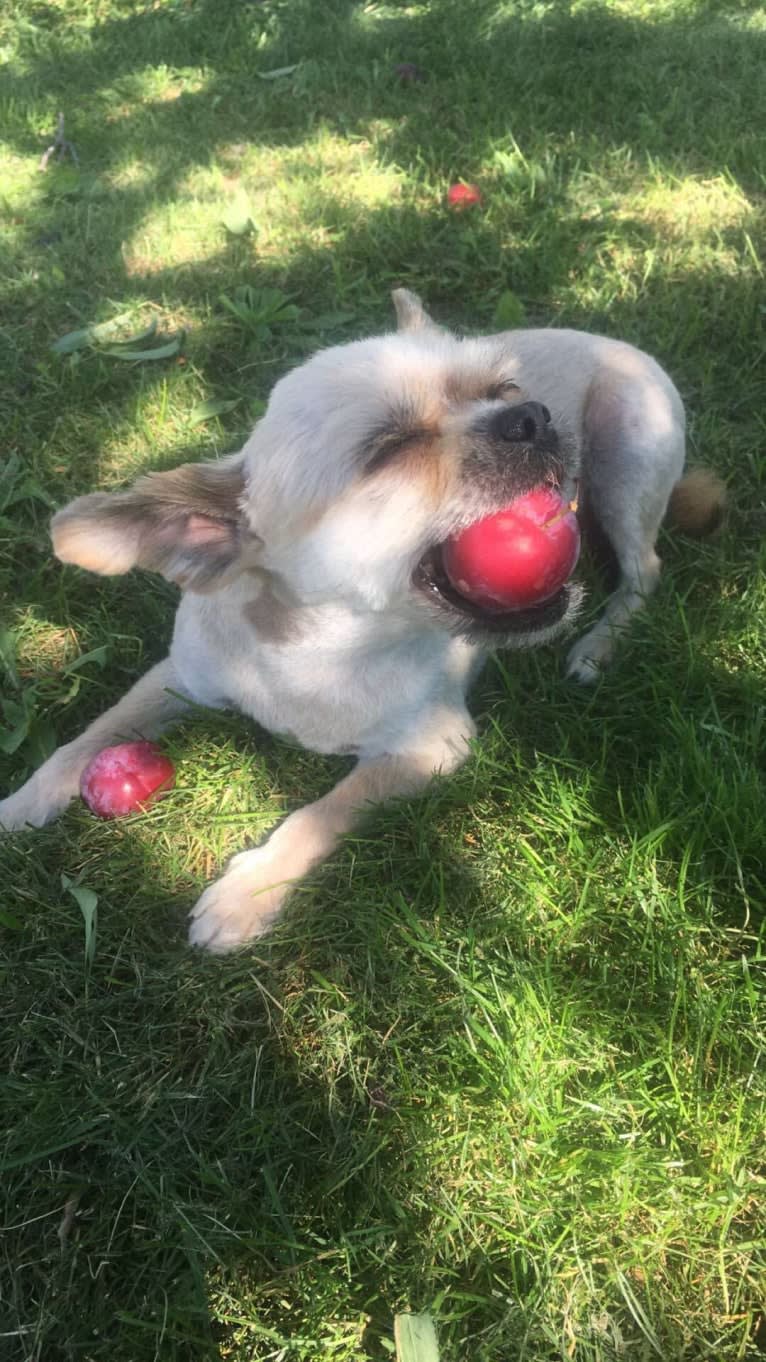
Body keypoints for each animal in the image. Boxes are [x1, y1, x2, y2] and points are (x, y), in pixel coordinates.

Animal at [0, 290, 719, 947]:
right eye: (391, 448)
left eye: (502, 389)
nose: (530, 414)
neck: (317, 654)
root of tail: (607, 338)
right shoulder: (179, 677)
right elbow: (93, 732)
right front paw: (26, 799)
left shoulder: (431, 748)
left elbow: (321, 811)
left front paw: (246, 893)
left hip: (629, 456)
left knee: (643, 570)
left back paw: (599, 644)